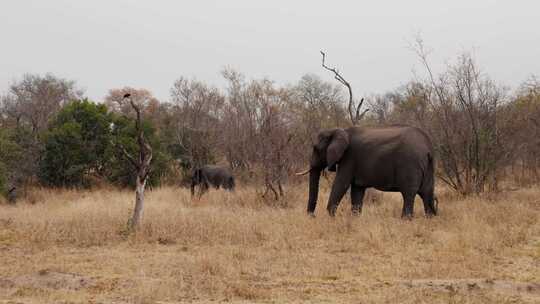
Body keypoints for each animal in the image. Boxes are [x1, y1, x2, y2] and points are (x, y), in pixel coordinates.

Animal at [298, 124, 436, 217]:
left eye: (315, 148)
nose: (312, 216)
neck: (339, 130)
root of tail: (427, 148)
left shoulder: (349, 158)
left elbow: (341, 184)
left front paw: (330, 216)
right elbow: (357, 190)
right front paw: (355, 218)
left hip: (410, 164)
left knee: (409, 194)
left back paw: (405, 220)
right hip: (429, 166)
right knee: (427, 193)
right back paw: (430, 217)